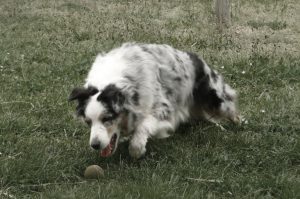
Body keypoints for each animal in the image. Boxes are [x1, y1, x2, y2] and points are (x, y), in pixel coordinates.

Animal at [68, 43, 239, 159]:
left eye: (107, 118)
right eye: (88, 122)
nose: (95, 145)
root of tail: (196, 58)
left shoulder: (163, 108)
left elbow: (142, 128)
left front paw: (137, 150)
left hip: (214, 97)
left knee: (229, 107)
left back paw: (238, 123)